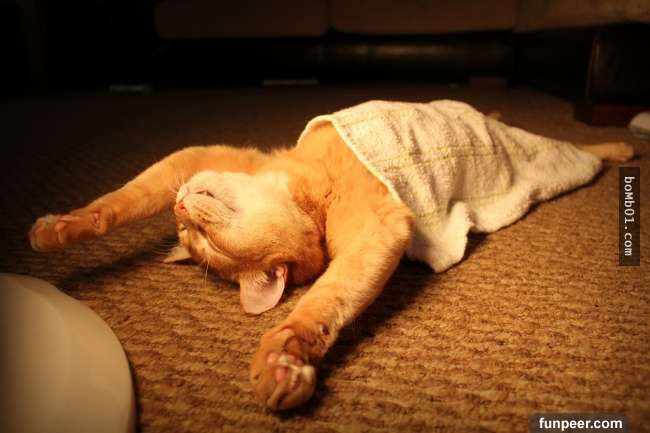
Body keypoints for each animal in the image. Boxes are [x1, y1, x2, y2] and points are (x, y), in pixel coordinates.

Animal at [28, 100, 634, 410]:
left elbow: (318, 305)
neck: (304, 181)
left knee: (576, 149)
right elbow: (322, 304)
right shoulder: (380, 231)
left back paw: (622, 144)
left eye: (204, 239)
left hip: (535, 155)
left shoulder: (209, 158)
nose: (180, 211)